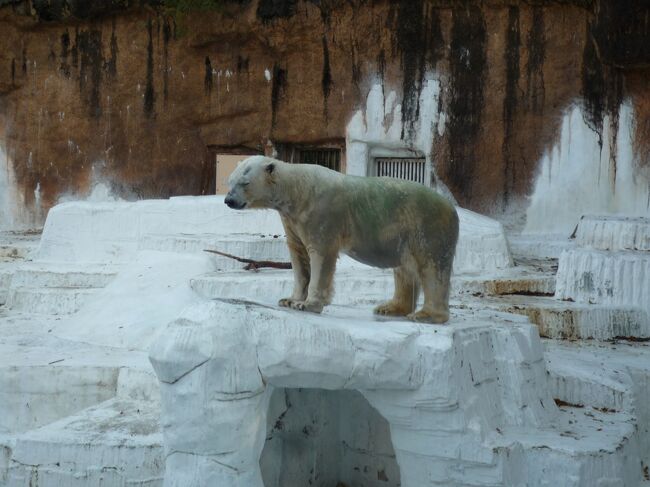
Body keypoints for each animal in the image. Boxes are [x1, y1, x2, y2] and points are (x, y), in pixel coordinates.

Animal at [225, 156, 458, 324]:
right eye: (230, 181)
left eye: (244, 183)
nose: (228, 200)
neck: (298, 191)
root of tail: (451, 208)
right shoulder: (292, 220)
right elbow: (299, 256)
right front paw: (290, 299)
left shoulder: (321, 214)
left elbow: (320, 255)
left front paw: (308, 304)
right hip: (404, 234)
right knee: (405, 269)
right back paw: (390, 308)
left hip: (427, 226)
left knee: (431, 267)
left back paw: (427, 315)